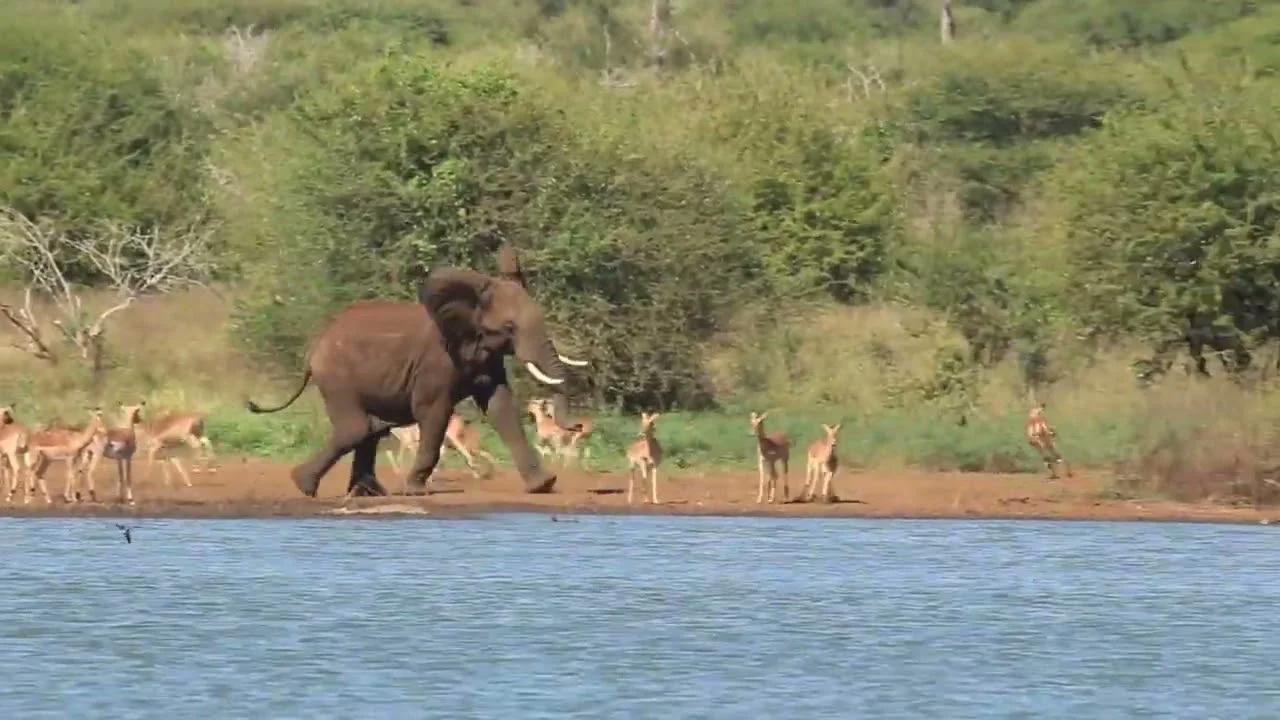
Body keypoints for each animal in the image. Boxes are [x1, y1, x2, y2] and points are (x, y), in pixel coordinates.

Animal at [245, 245, 587, 498]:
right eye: (510, 327)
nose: (577, 426)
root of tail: (315, 346)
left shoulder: (485, 357)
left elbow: (500, 407)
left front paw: (542, 486)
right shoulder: (437, 362)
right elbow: (434, 411)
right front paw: (415, 491)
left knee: (371, 429)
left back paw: (368, 493)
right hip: (337, 376)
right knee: (356, 428)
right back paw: (305, 486)